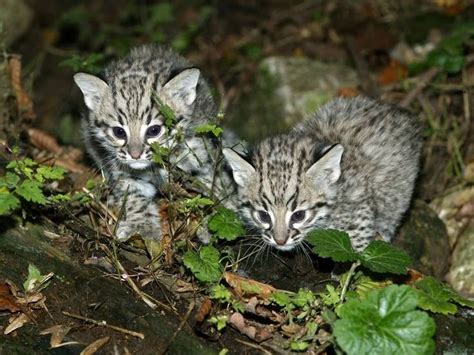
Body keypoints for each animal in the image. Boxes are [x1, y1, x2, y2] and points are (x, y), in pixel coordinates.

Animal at [74, 43, 233, 241]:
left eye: (154, 131)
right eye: (119, 132)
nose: (135, 155)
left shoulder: (205, 157)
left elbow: (212, 185)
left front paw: (211, 219)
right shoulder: (123, 170)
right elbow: (133, 195)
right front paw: (142, 225)